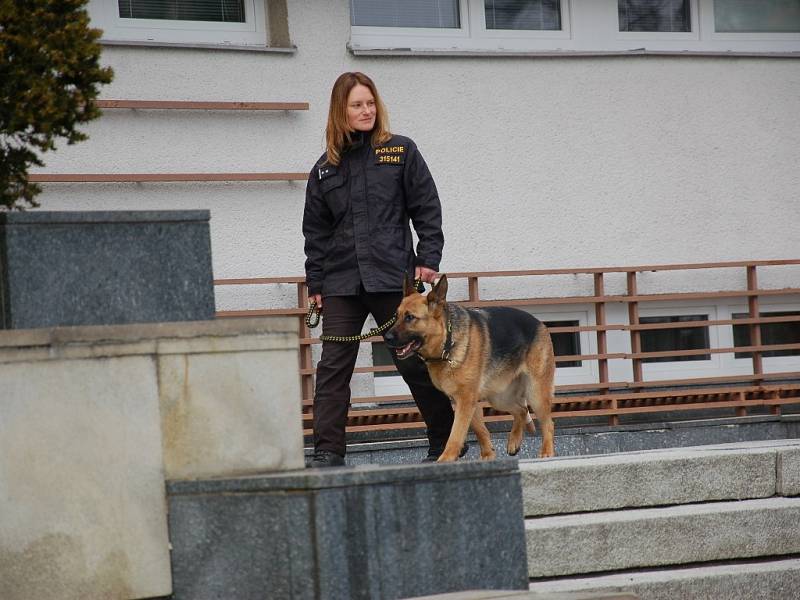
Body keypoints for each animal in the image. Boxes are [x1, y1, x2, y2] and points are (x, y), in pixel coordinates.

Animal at [384, 274, 552, 462]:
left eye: (410, 317)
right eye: (396, 316)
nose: (386, 338)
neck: (447, 343)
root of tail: (540, 323)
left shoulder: (466, 400)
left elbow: (456, 433)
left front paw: (446, 458)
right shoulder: (462, 401)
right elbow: (478, 429)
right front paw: (487, 455)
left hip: (535, 393)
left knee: (548, 423)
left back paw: (547, 452)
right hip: (499, 397)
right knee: (522, 410)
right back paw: (514, 441)